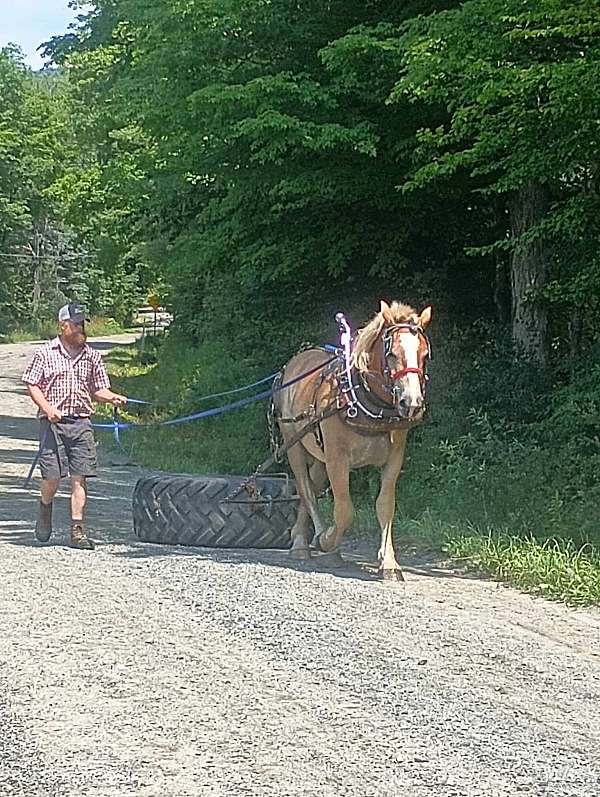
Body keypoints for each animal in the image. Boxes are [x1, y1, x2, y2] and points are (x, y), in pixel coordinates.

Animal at [274, 298, 434, 580]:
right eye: (392, 354)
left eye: (424, 354)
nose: (412, 403)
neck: (364, 397)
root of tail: (294, 362)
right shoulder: (338, 459)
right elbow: (344, 510)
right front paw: (327, 540)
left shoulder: (394, 458)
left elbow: (385, 505)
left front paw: (389, 562)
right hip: (293, 443)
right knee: (305, 489)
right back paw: (307, 543)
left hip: (320, 456)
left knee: (311, 488)